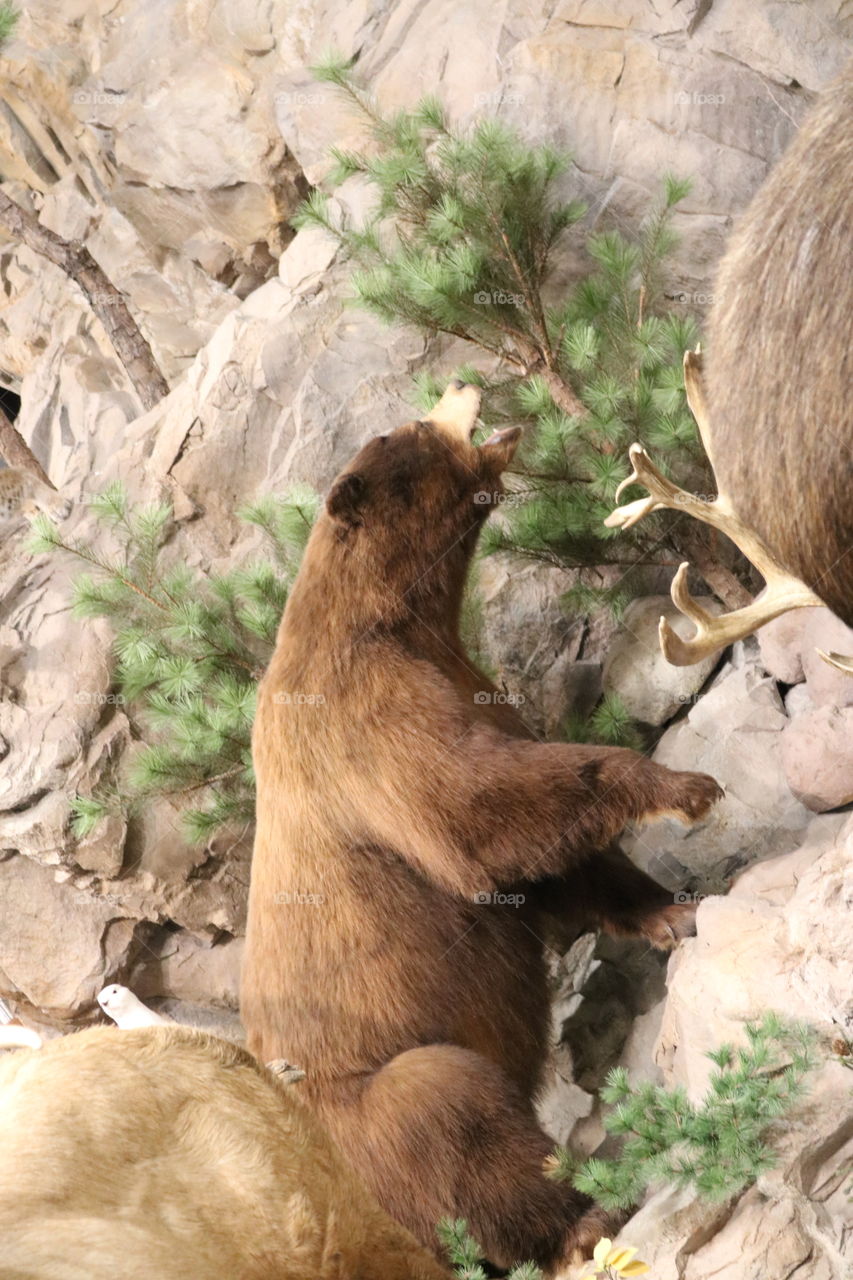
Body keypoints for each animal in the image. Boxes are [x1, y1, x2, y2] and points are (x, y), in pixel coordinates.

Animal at [241, 380, 723, 1275]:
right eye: (407, 425)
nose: (461, 384)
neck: (402, 617)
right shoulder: (362, 717)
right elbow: (470, 809)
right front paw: (682, 787)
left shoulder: (462, 674)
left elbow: (543, 853)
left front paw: (671, 909)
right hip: (369, 1115)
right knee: (451, 1115)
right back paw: (586, 1215)